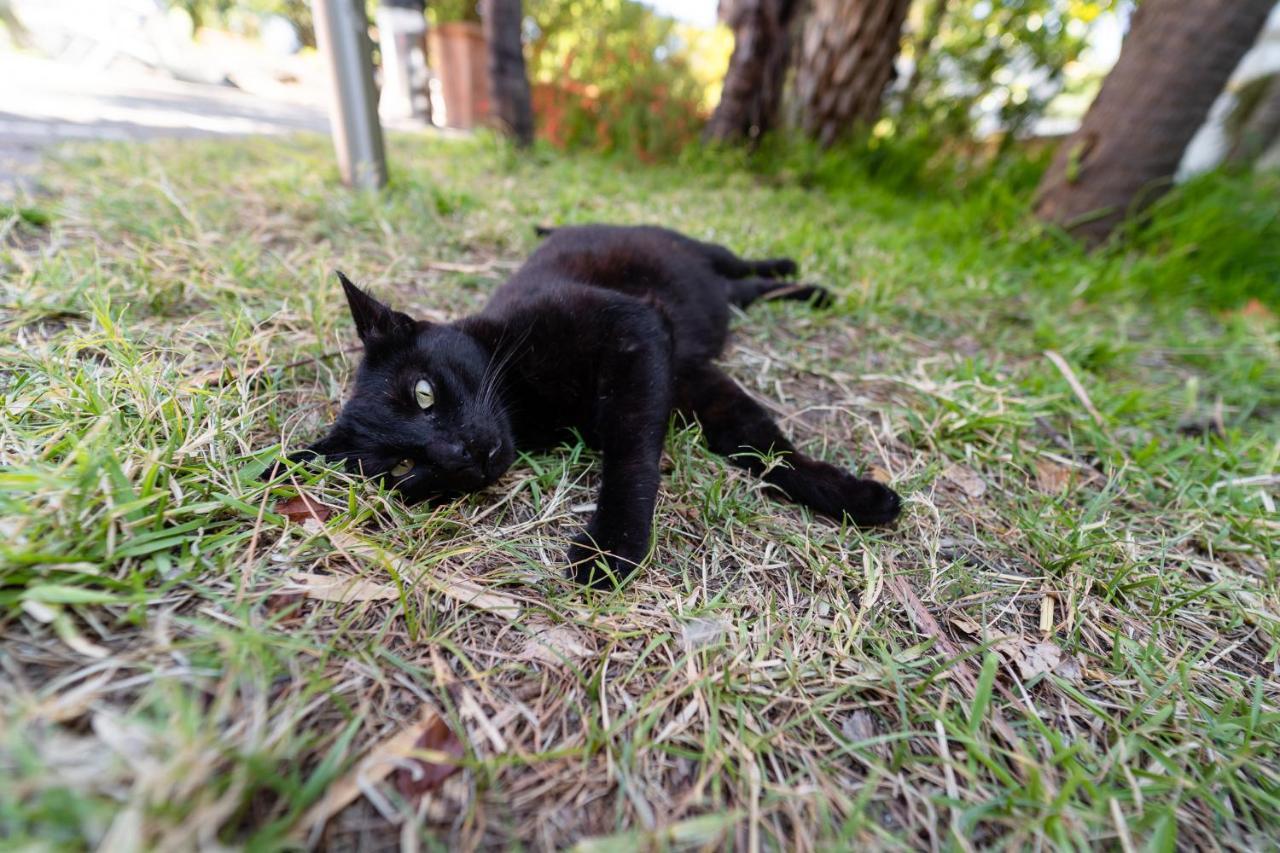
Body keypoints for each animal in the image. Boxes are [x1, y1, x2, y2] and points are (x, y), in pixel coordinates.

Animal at [280, 222, 901, 589]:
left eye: (423, 393)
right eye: (403, 467)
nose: (459, 453)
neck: (530, 406)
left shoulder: (634, 334)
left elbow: (631, 449)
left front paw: (611, 544)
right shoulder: (692, 377)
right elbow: (756, 442)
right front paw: (854, 497)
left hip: (699, 250)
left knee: (743, 264)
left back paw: (790, 267)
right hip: (718, 302)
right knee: (746, 293)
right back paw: (811, 292)